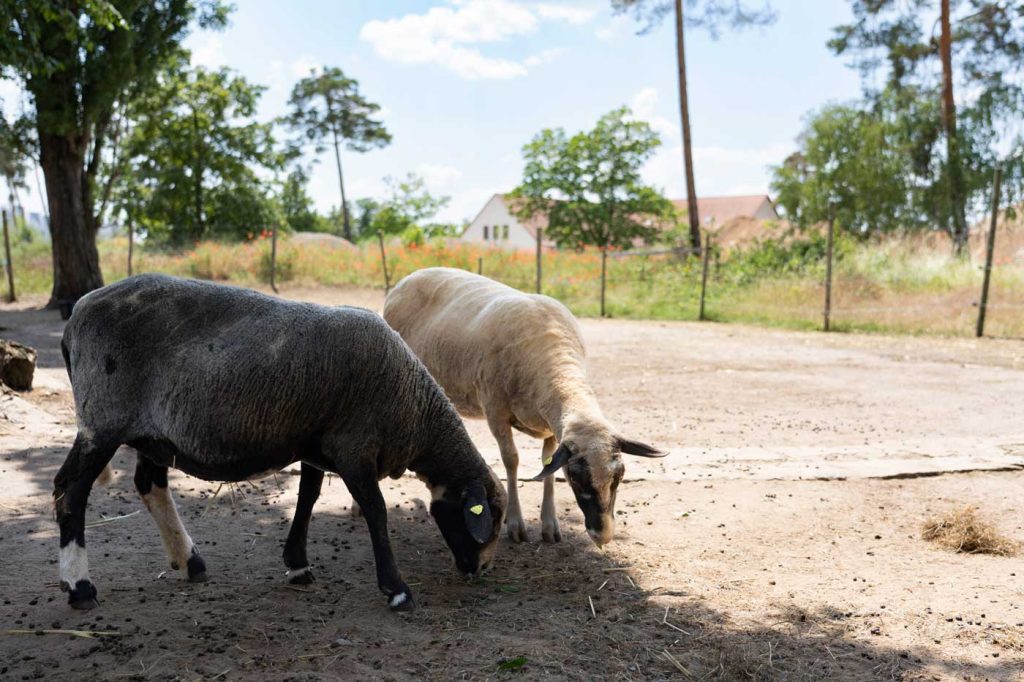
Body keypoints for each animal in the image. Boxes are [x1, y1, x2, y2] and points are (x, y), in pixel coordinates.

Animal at [55, 274, 503, 606]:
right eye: (490, 517)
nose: (478, 570)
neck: (413, 406)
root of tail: (76, 316)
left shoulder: (316, 444)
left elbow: (307, 499)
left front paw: (298, 565)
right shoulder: (354, 447)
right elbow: (375, 512)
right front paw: (396, 590)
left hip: (153, 432)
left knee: (150, 485)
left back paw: (190, 562)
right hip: (102, 420)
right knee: (70, 489)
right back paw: (79, 587)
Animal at [385, 268, 663, 544]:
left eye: (620, 475)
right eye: (574, 476)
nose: (602, 536)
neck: (554, 367)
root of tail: (408, 278)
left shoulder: (550, 426)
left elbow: (548, 463)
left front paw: (550, 526)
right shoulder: (496, 411)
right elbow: (512, 460)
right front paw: (516, 523)